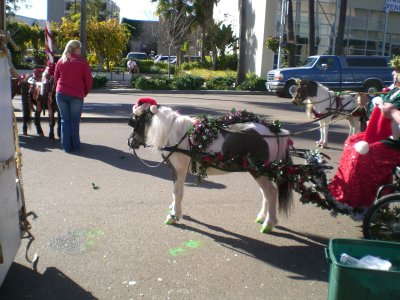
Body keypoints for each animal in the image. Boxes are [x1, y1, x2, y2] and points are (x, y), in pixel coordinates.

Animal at [128, 97, 294, 233]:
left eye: (134, 120)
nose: (130, 142)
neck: (175, 134)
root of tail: (274, 132)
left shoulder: (179, 170)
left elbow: (178, 192)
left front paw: (174, 216)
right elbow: (176, 192)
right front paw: (173, 209)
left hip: (258, 171)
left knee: (271, 193)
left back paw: (269, 223)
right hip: (260, 171)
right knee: (265, 193)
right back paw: (261, 217)